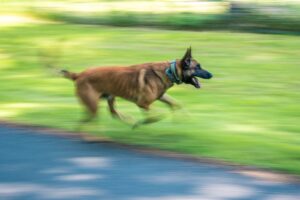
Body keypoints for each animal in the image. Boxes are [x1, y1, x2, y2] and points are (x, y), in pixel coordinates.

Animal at [61, 47, 211, 127]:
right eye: (198, 67)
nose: (211, 74)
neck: (169, 70)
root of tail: (78, 74)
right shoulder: (143, 103)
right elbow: (156, 116)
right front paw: (143, 122)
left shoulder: (161, 96)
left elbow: (177, 104)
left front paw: (184, 118)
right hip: (93, 104)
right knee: (88, 120)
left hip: (109, 98)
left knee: (112, 113)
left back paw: (128, 120)